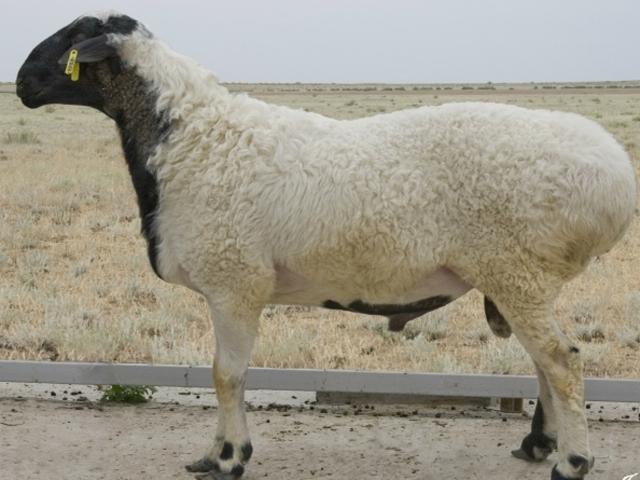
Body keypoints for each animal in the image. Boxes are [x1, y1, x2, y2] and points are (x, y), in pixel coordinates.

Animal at [16, 11, 636, 480]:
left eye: (74, 37)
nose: (21, 84)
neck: (188, 135)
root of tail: (614, 173)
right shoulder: (229, 288)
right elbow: (225, 373)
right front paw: (211, 455)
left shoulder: (235, 282)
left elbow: (226, 375)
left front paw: (229, 459)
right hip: (518, 277)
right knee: (545, 361)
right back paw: (539, 446)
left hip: (515, 268)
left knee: (562, 361)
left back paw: (571, 462)